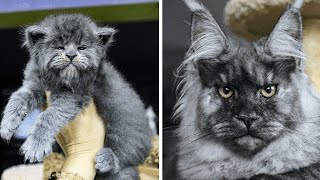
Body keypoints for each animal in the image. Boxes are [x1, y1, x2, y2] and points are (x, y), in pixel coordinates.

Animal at [0, 14, 152, 180]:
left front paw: (35, 146)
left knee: (123, 159)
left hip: (126, 144)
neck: (58, 81)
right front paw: (6, 125)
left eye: (82, 48)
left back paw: (107, 159)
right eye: (59, 47)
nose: (71, 55)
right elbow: (17, 98)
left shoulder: (73, 96)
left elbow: (48, 116)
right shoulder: (34, 85)